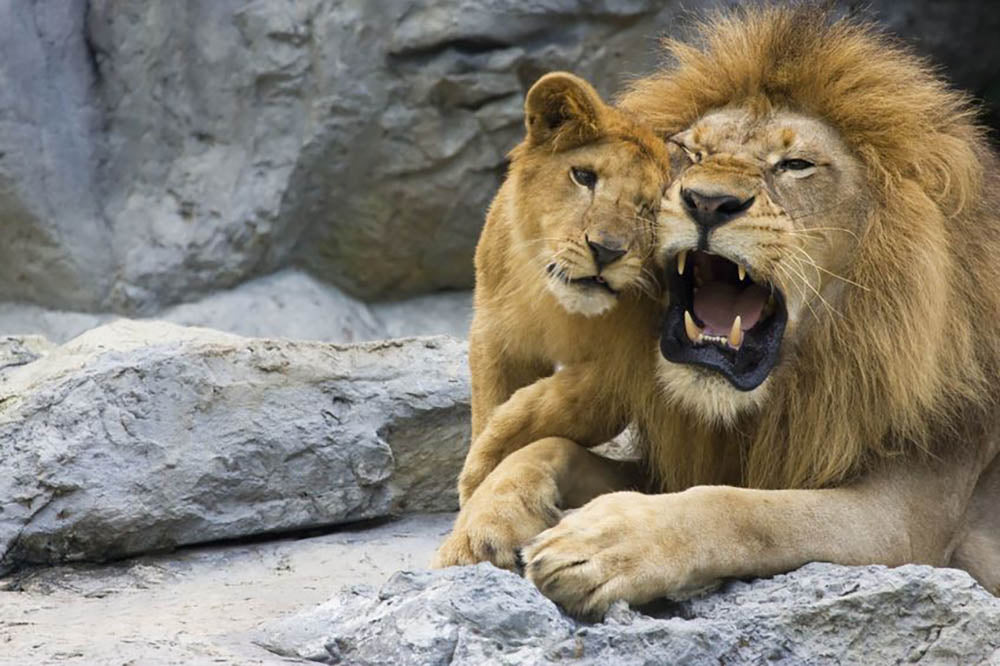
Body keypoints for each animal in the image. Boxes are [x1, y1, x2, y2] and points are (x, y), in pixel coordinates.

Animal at [432, 73, 671, 568]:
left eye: (651, 206)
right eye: (584, 176)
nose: (607, 250)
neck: (561, 307)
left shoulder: (638, 362)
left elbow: (563, 404)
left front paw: (487, 462)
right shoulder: (496, 337)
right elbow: (490, 403)